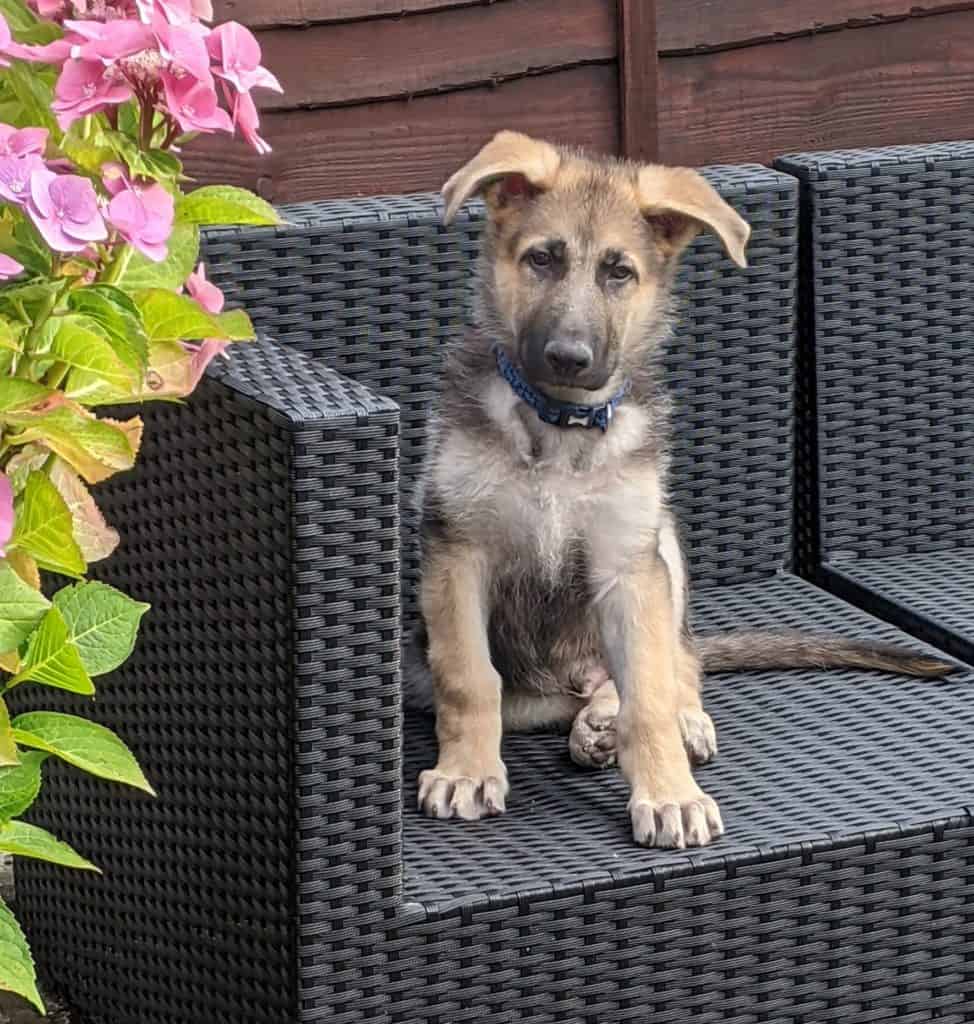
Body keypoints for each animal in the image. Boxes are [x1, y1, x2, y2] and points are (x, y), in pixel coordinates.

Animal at [407, 130, 954, 847]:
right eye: (542, 260)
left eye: (619, 273)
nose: (568, 358)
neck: (558, 426)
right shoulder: (457, 550)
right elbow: (470, 677)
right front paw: (467, 772)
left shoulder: (626, 566)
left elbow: (650, 697)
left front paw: (670, 793)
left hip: (660, 543)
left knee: (678, 664)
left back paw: (647, 720)